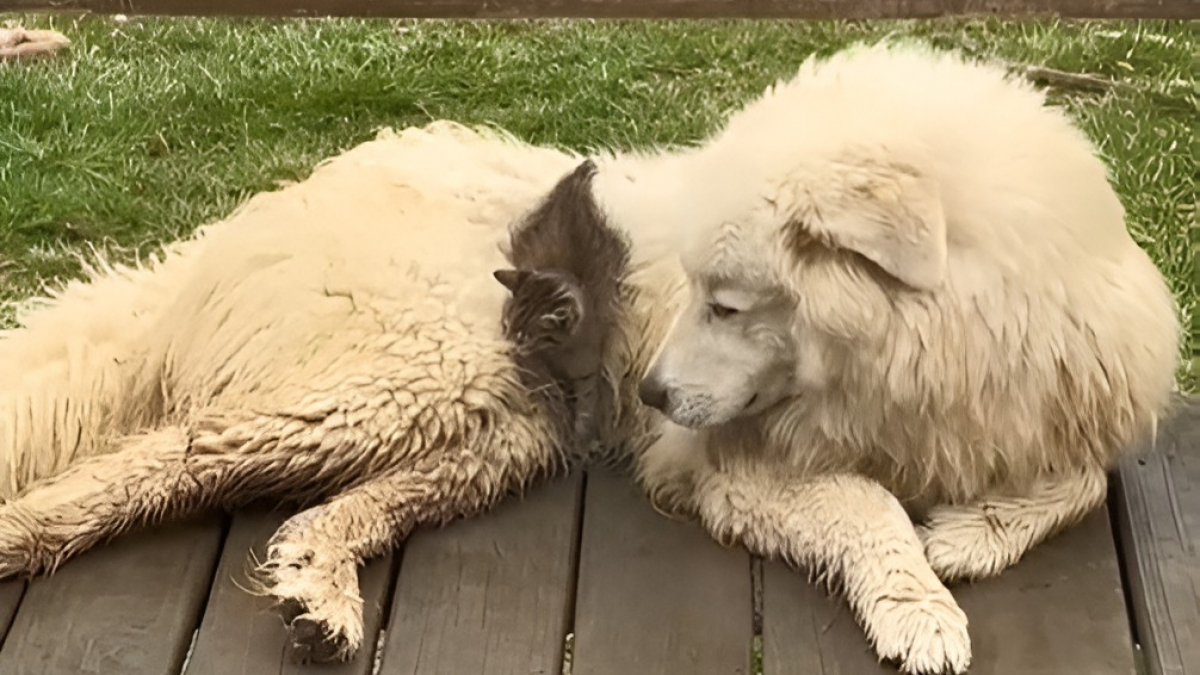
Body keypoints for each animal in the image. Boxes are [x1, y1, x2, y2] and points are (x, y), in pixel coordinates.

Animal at [0, 43, 1180, 672]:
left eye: (727, 301)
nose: (650, 390)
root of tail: (238, 226)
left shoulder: (1052, 415)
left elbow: (1078, 482)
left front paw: (971, 536)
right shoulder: (731, 464)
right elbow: (872, 507)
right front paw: (921, 606)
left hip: (497, 428)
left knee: (316, 511)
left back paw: (318, 592)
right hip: (412, 375)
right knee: (166, 456)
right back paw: (25, 540)